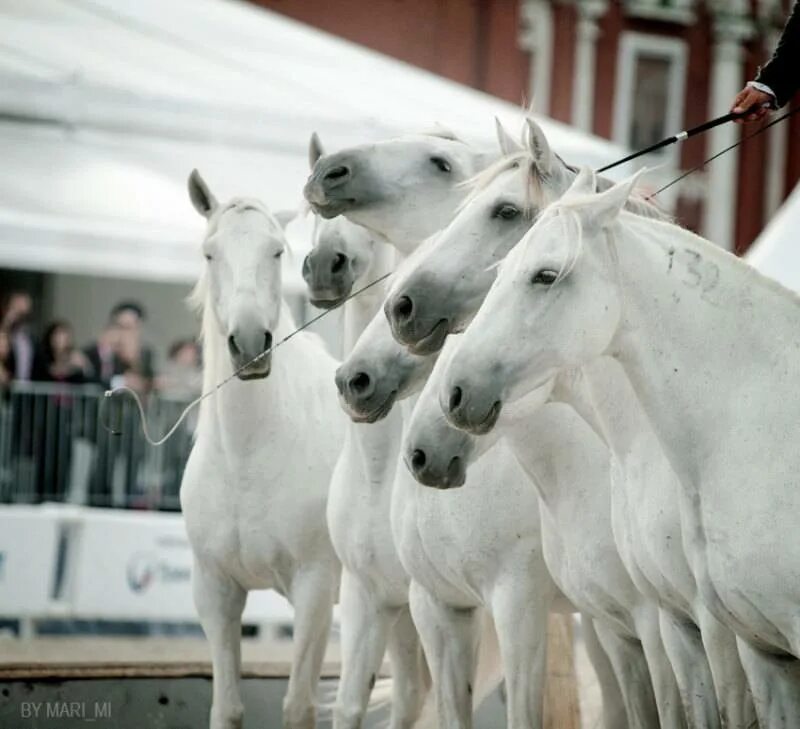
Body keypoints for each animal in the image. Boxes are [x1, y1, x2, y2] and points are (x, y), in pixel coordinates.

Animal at [180, 172, 342, 728]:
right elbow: (227, 706)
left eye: (276, 251)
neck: (248, 457)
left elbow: (299, 706)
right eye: (210, 253)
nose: (250, 344)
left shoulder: (315, 590)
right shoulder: (215, 592)